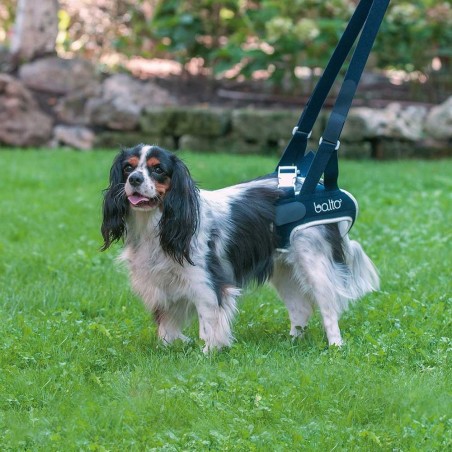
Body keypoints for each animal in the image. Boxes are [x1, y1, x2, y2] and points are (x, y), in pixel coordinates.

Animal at [101, 143, 378, 352]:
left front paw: (208, 354)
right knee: (300, 308)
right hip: (284, 271)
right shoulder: (161, 281)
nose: (135, 179)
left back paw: (335, 346)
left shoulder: (205, 283)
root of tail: (319, 185)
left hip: (314, 263)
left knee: (328, 308)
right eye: (128, 167)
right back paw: (292, 343)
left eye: (158, 169)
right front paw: (166, 351)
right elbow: (166, 325)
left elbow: (209, 323)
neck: (154, 223)